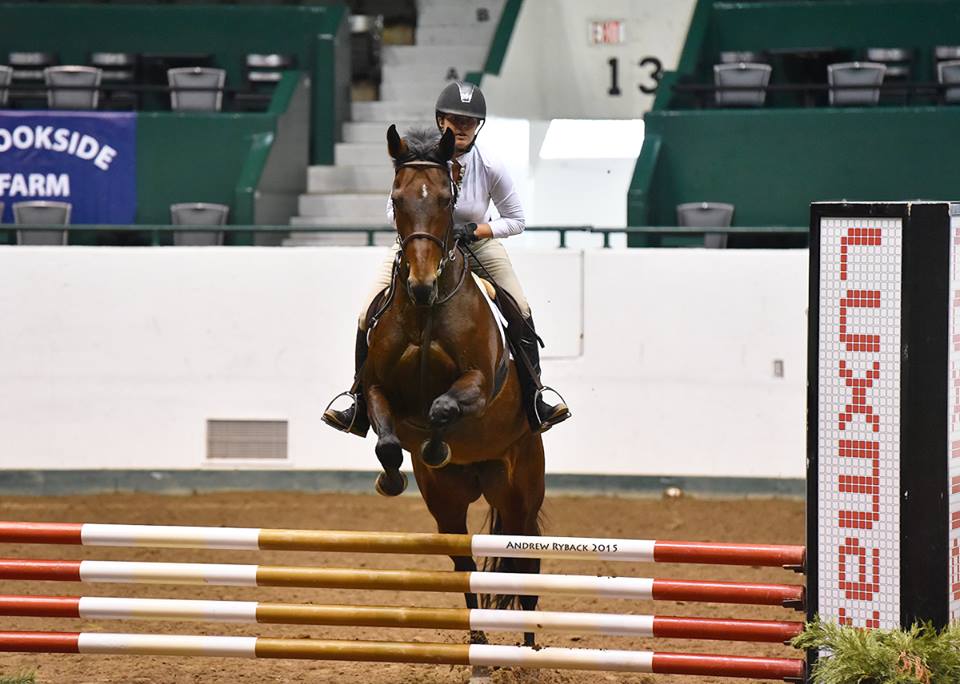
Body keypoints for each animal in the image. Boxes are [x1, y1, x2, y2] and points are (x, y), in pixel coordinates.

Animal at [362, 127, 544, 648]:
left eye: (447, 200)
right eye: (396, 199)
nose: (421, 285)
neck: (427, 311)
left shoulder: (479, 384)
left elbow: (443, 408)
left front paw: (438, 444)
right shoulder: (377, 388)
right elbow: (387, 440)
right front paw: (392, 475)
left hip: (523, 488)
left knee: (528, 562)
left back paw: (529, 647)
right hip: (447, 503)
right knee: (464, 561)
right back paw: (478, 636)